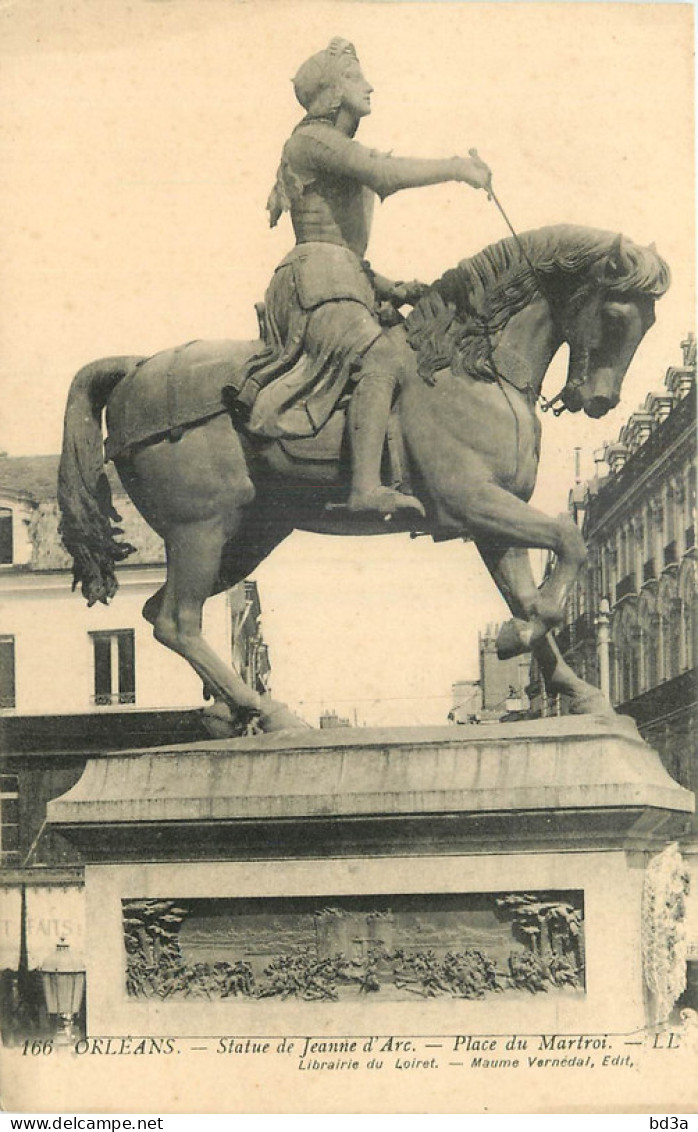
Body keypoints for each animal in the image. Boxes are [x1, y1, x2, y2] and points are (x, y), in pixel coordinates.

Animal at [59, 223, 669, 733]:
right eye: (617, 316)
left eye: (649, 323)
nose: (599, 400)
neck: (470, 367)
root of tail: (137, 368)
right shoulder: (473, 500)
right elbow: (567, 546)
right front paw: (515, 637)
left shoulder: (494, 521)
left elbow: (528, 592)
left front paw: (579, 690)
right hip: (201, 529)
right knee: (177, 621)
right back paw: (270, 713)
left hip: (247, 538)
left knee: (158, 613)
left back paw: (231, 714)